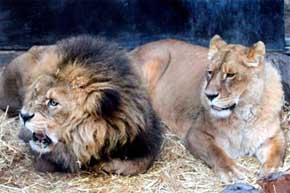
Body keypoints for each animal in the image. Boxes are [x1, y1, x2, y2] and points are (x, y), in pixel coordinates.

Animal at [130, 35, 286, 182]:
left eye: (230, 75)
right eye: (210, 72)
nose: (209, 95)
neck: (242, 114)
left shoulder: (273, 136)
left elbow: (277, 153)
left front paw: (271, 171)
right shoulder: (196, 134)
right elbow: (216, 152)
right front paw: (232, 171)